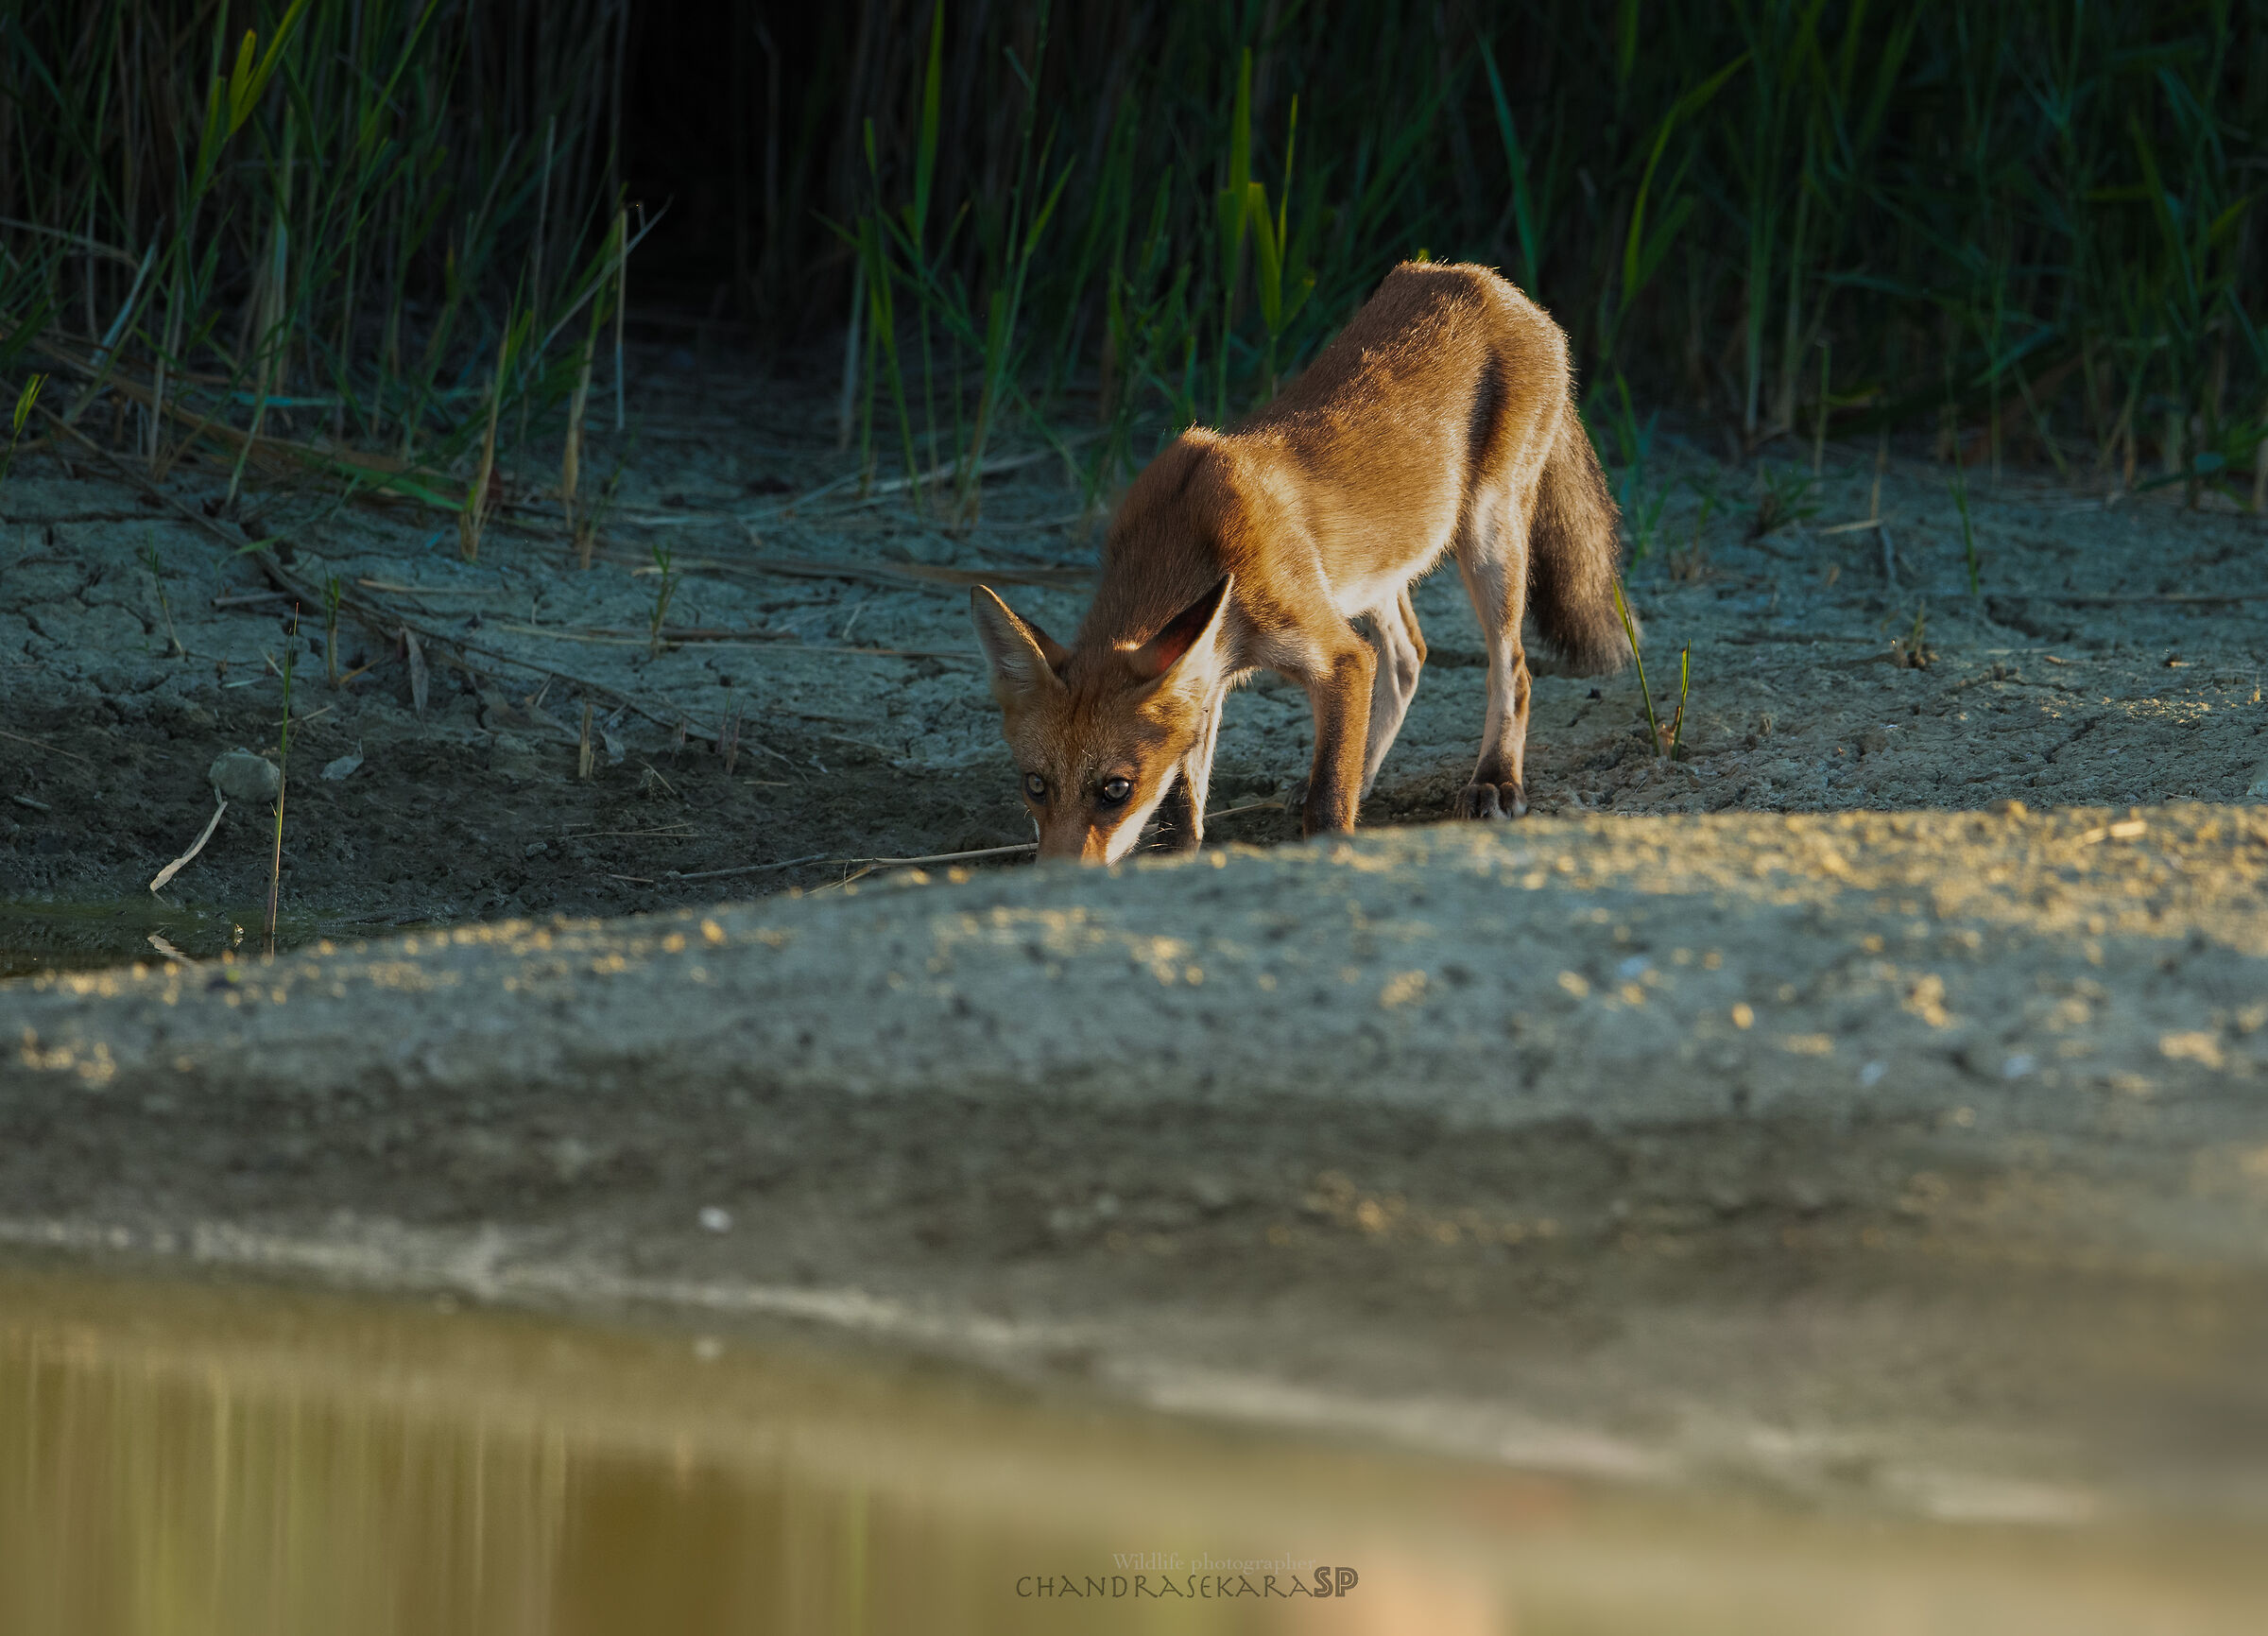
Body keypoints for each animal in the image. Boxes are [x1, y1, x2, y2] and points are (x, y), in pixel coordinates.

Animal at [970, 259, 1632, 866]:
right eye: (1035, 785)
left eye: (1115, 789)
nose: (1057, 880)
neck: (1186, 537)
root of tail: (1488, 281)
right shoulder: (1210, 670)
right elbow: (1185, 804)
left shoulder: (1336, 655)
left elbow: (1326, 800)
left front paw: (1332, 836)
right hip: (1373, 573)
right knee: (1407, 658)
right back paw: (1367, 771)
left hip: (1488, 537)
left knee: (1511, 669)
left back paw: (1495, 778)